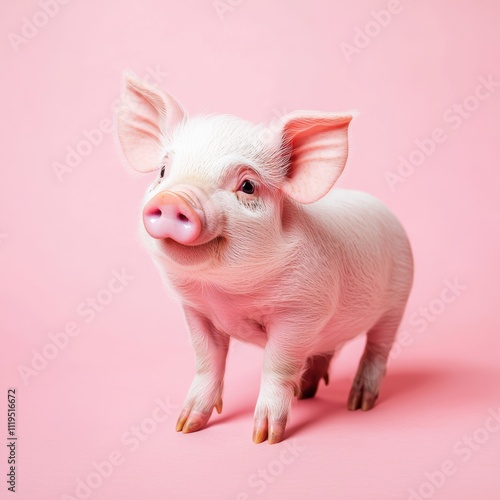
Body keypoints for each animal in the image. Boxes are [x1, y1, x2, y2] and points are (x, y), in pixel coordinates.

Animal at [115, 73, 412, 442]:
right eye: (163, 171)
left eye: (247, 186)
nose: (174, 199)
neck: (228, 294)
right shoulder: (196, 309)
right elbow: (207, 360)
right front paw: (185, 427)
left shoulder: (301, 312)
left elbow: (277, 364)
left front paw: (265, 437)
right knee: (325, 350)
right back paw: (307, 392)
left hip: (398, 300)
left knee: (377, 348)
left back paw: (358, 404)